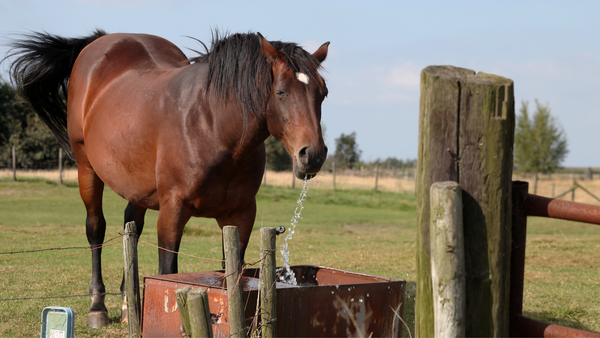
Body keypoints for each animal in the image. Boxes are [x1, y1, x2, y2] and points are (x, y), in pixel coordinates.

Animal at [5, 30, 328, 326]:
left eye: (322, 93)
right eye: (281, 92)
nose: (312, 154)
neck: (213, 125)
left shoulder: (241, 216)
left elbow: (230, 273)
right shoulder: (173, 211)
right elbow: (169, 272)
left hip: (136, 184)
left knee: (131, 227)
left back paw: (129, 305)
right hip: (87, 169)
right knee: (96, 229)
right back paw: (98, 308)